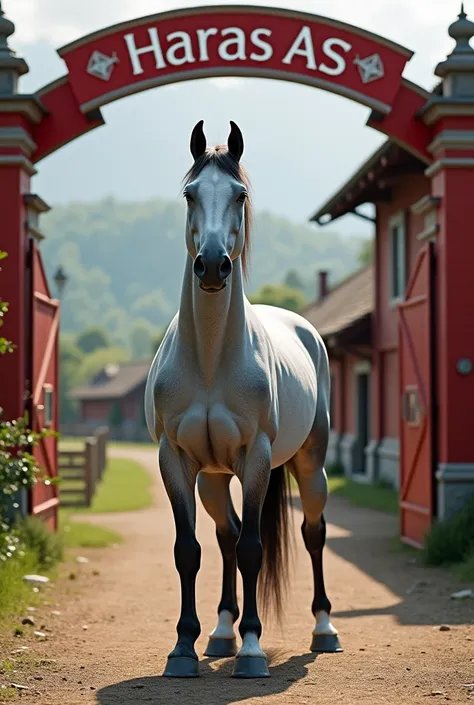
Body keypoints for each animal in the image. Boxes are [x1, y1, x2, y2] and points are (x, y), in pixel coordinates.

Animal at [144, 119, 340, 676]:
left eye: (240, 194)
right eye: (190, 193)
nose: (212, 266)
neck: (211, 361)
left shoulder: (256, 458)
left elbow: (254, 548)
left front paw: (252, 649)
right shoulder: (174, 460)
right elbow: (189, 551)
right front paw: (183, 647)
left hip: (310, 465)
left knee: (312, 531)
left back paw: (323, 629)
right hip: (212, 479)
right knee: (225, 534)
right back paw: (219, 633)